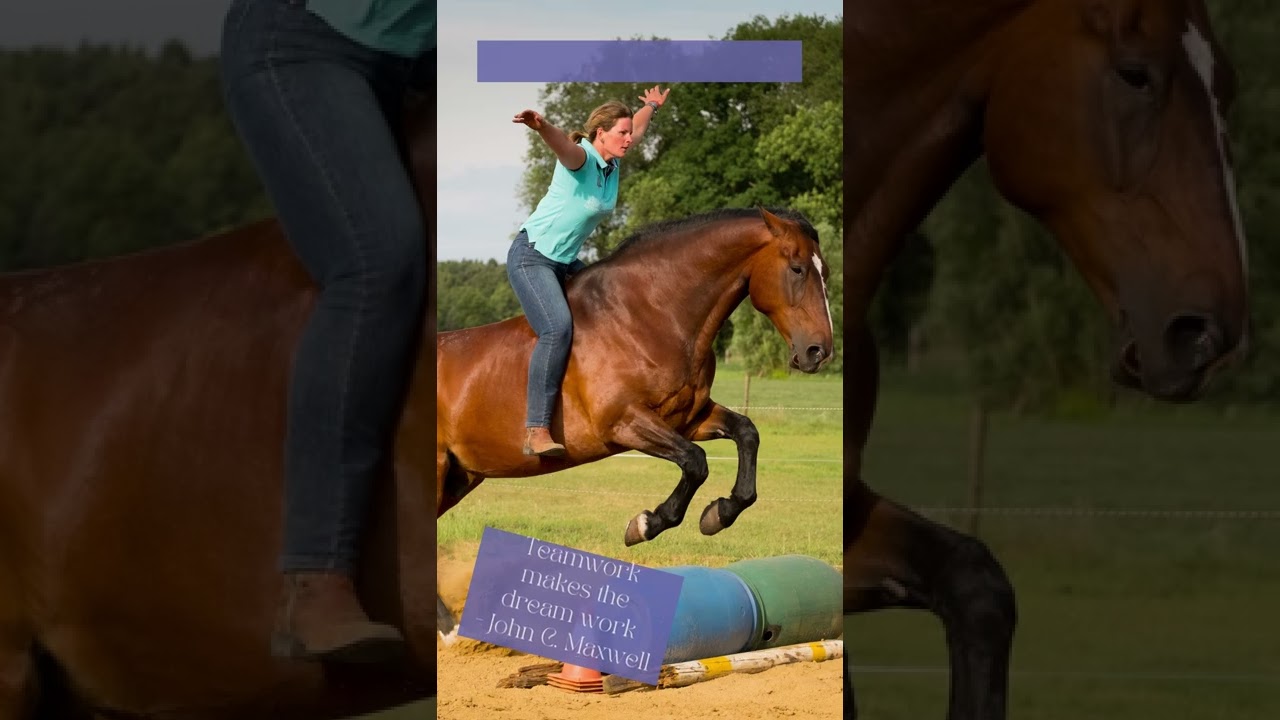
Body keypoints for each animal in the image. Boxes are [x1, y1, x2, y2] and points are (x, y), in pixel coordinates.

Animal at [434, 207, 835, 544]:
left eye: (825, 272)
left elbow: (747, 433)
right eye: (797, 268)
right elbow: (696, 461)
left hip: (459, 478)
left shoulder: (687, 418)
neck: (649, 316)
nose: (819, 351)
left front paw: (719, 513)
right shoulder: (623, 422)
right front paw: (645, 524)